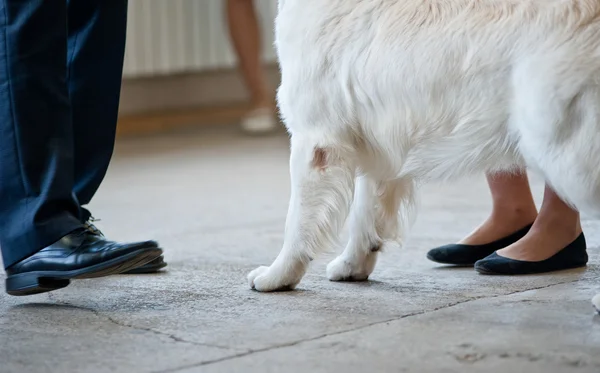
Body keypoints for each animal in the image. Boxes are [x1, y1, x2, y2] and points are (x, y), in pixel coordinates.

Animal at [246, 0, 600, 296]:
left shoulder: (316, 140)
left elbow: (296, 222)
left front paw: (277, 276)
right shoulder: (376, 144)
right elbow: (364, 215)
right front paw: (353, 265)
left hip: (566, 149)